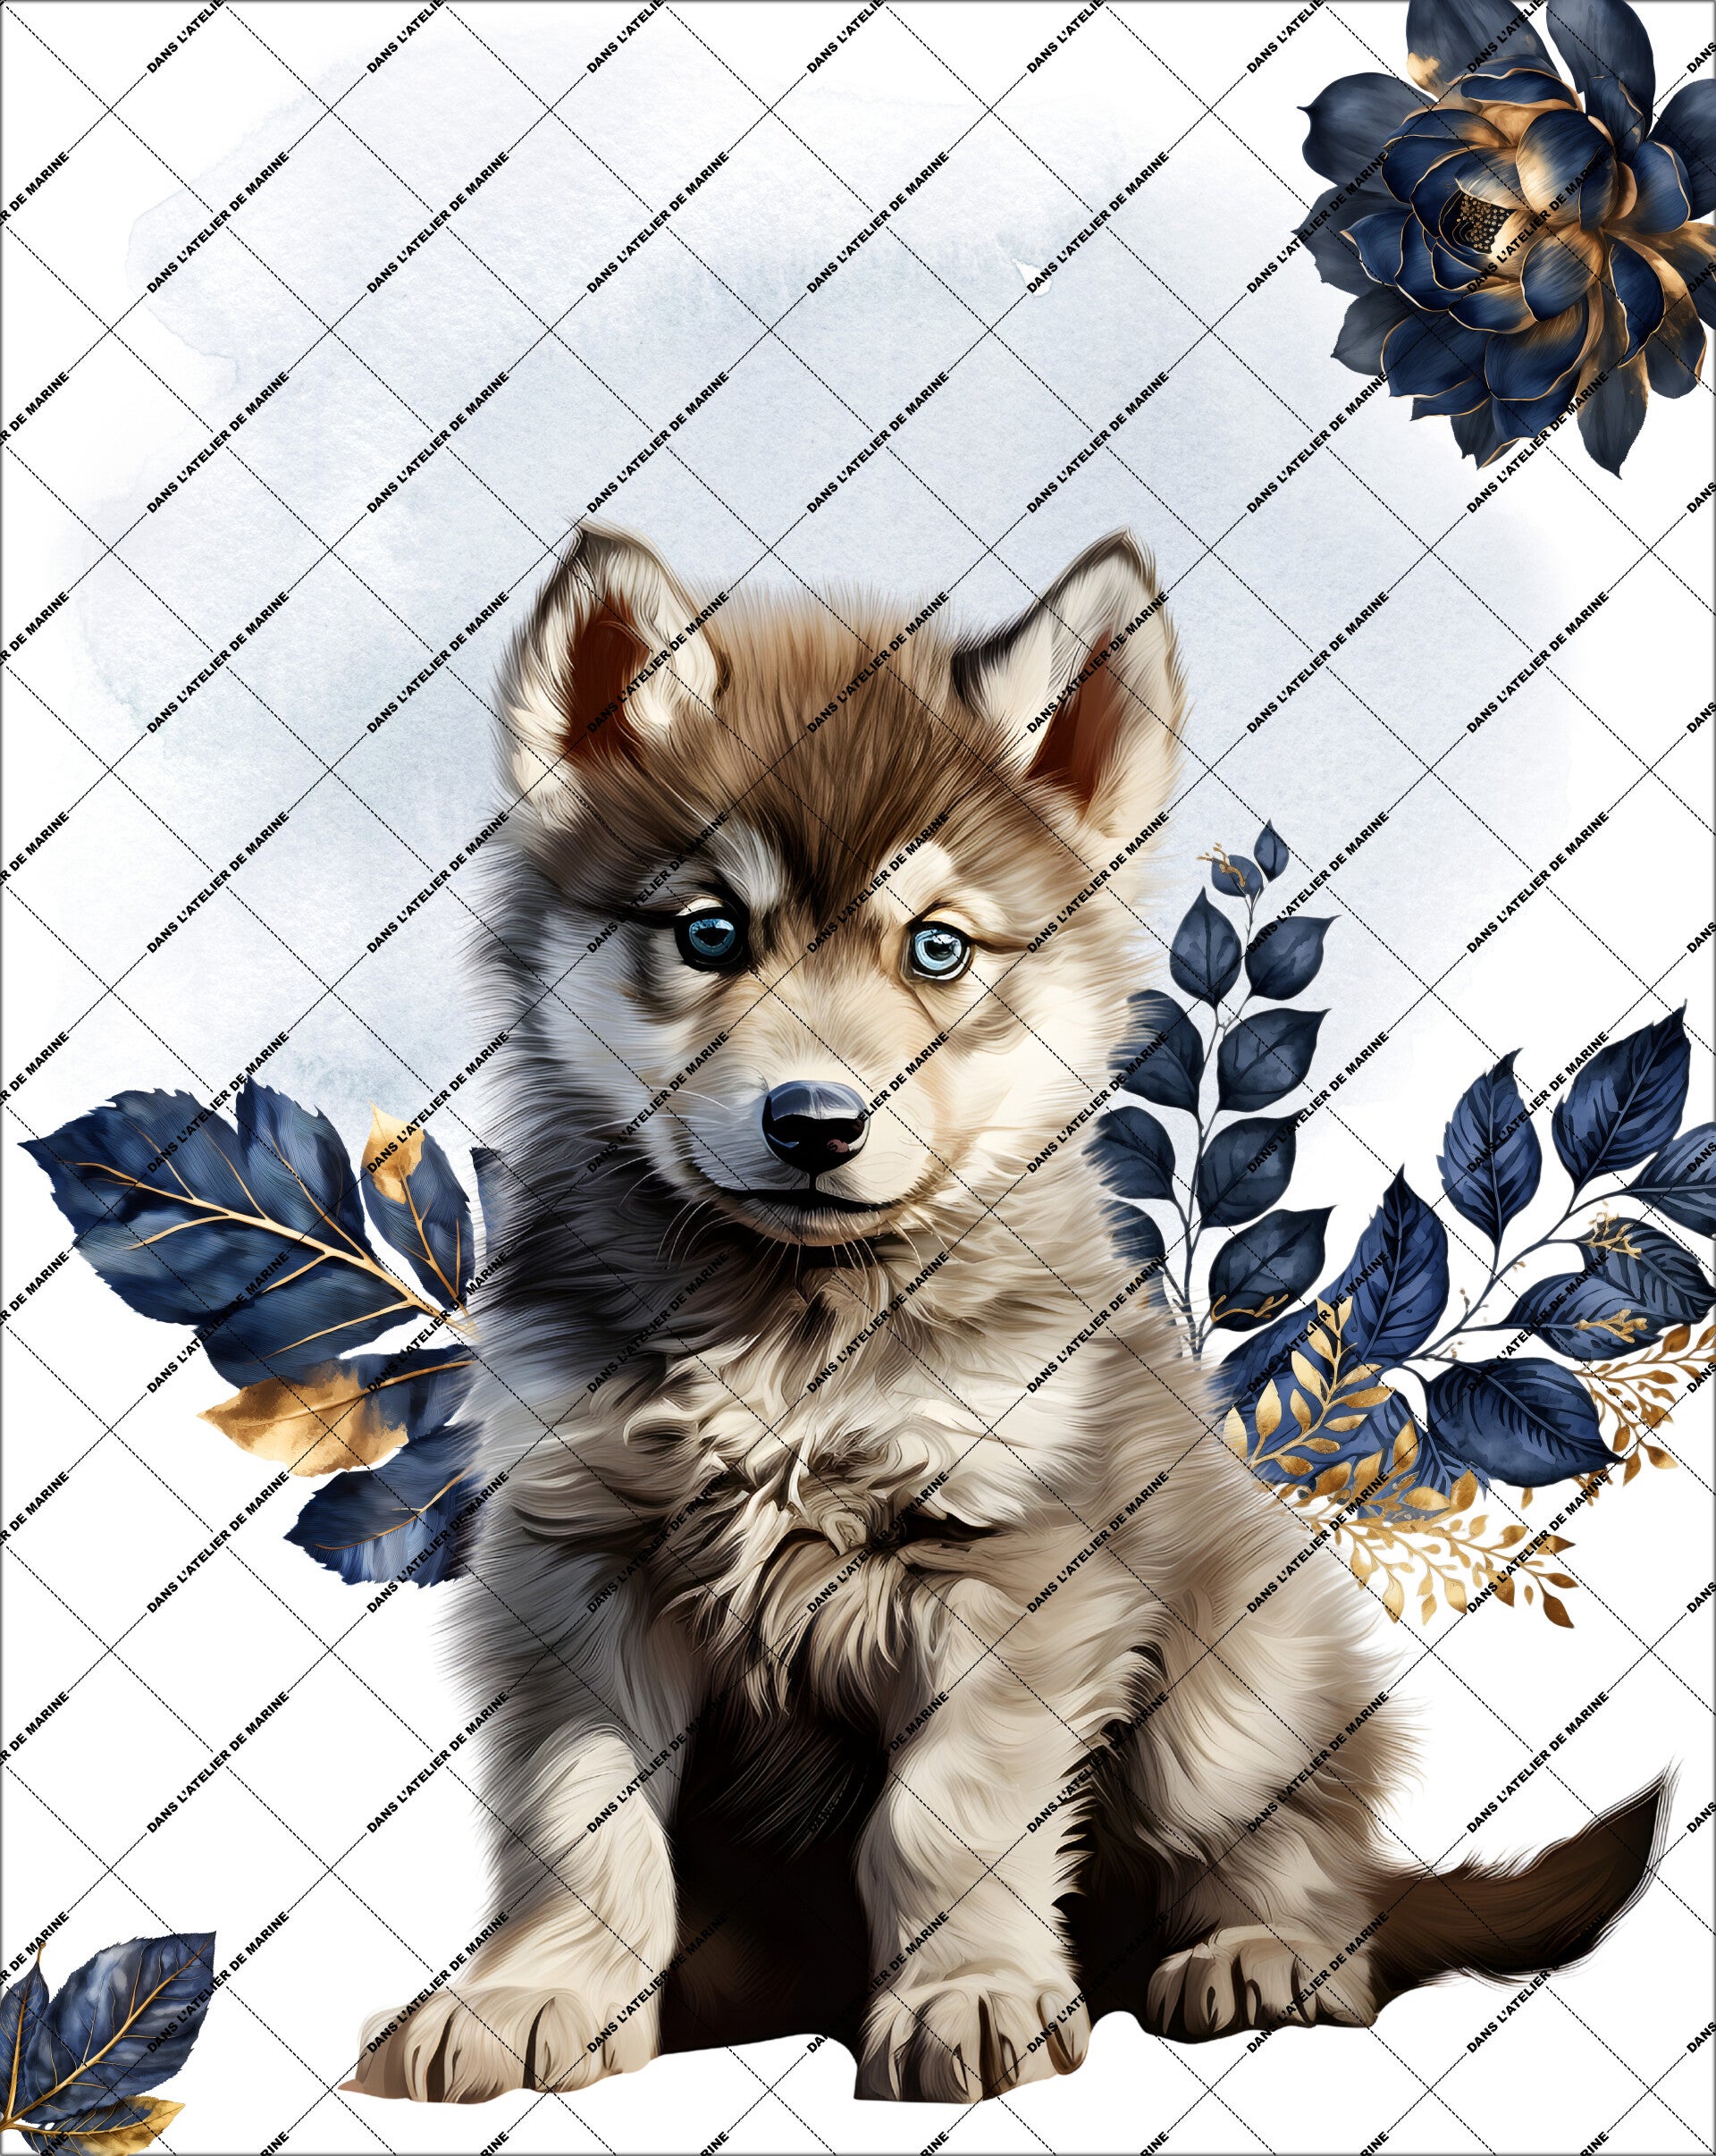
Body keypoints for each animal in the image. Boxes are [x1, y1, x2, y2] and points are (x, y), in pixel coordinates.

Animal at [351, 524, 1664, 2106]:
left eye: (938, 950)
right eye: (710, 934)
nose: (815, 1125)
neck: (795, 1337)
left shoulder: (1017, 1574)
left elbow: (948, 1818)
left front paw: (968, 1994)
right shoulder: (579, 1564)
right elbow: (579, 1822)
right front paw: (539, 1995)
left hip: (1228, 1696)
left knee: (1310, 1862)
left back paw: (1263, 1954)